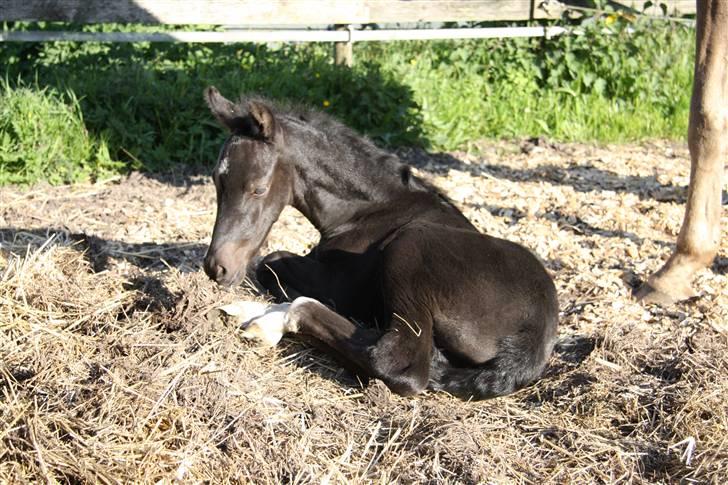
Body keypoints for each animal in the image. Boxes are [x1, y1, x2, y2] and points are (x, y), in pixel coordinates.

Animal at [202, 86, 556, 398]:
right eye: (217, 181)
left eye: (258, 188)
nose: (217, 268)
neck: (371, 209)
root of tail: (535, 337)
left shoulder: (341, 283)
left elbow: (270, 262)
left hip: (410, 247)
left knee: (399, 363)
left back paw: (274, 319)